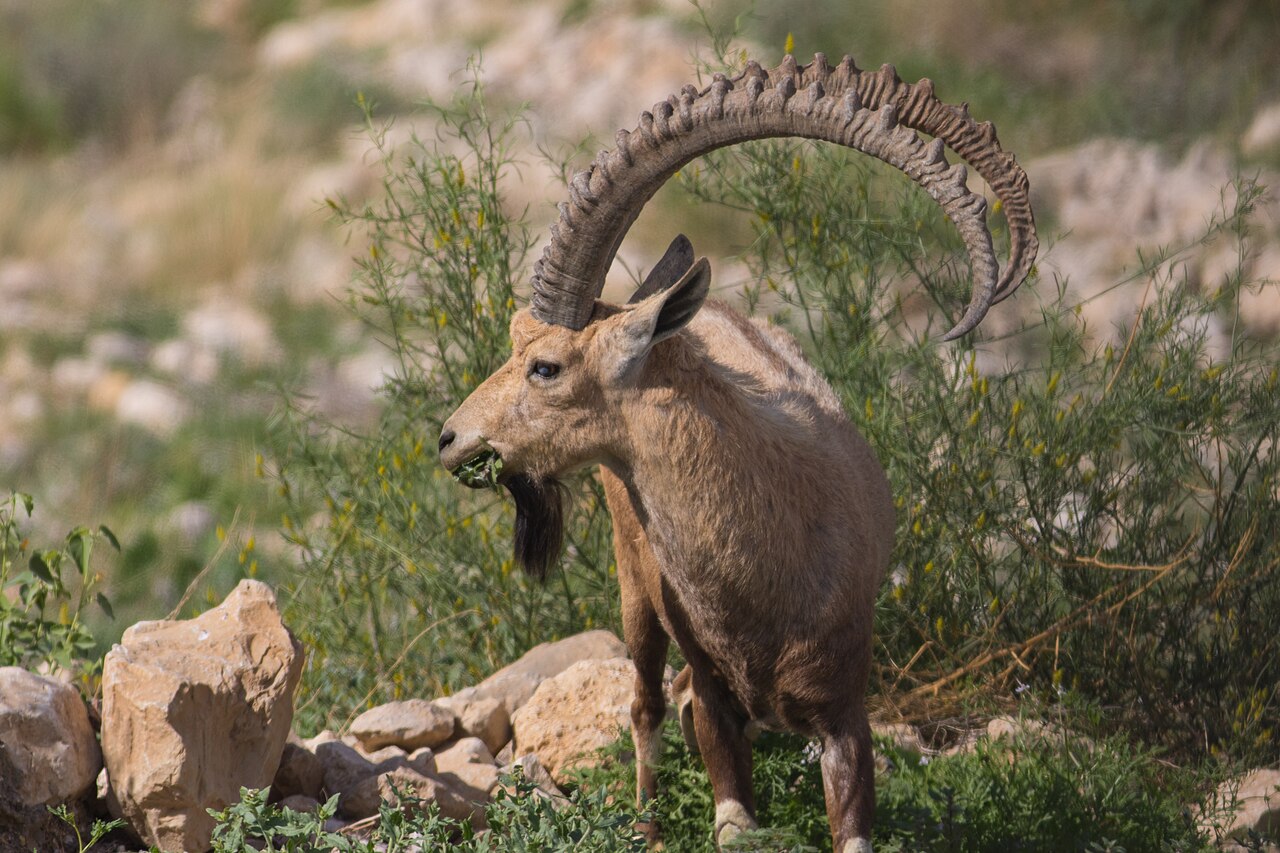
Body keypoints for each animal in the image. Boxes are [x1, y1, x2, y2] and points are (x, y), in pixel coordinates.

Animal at [438, 54, 1036, 852]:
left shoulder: (845, 715)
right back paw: (647, 825)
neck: (766, 562)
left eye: (546, 366)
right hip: (635, 591)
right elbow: (727, 804)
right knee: (647, 705)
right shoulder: (721, 708)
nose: (451, 439)